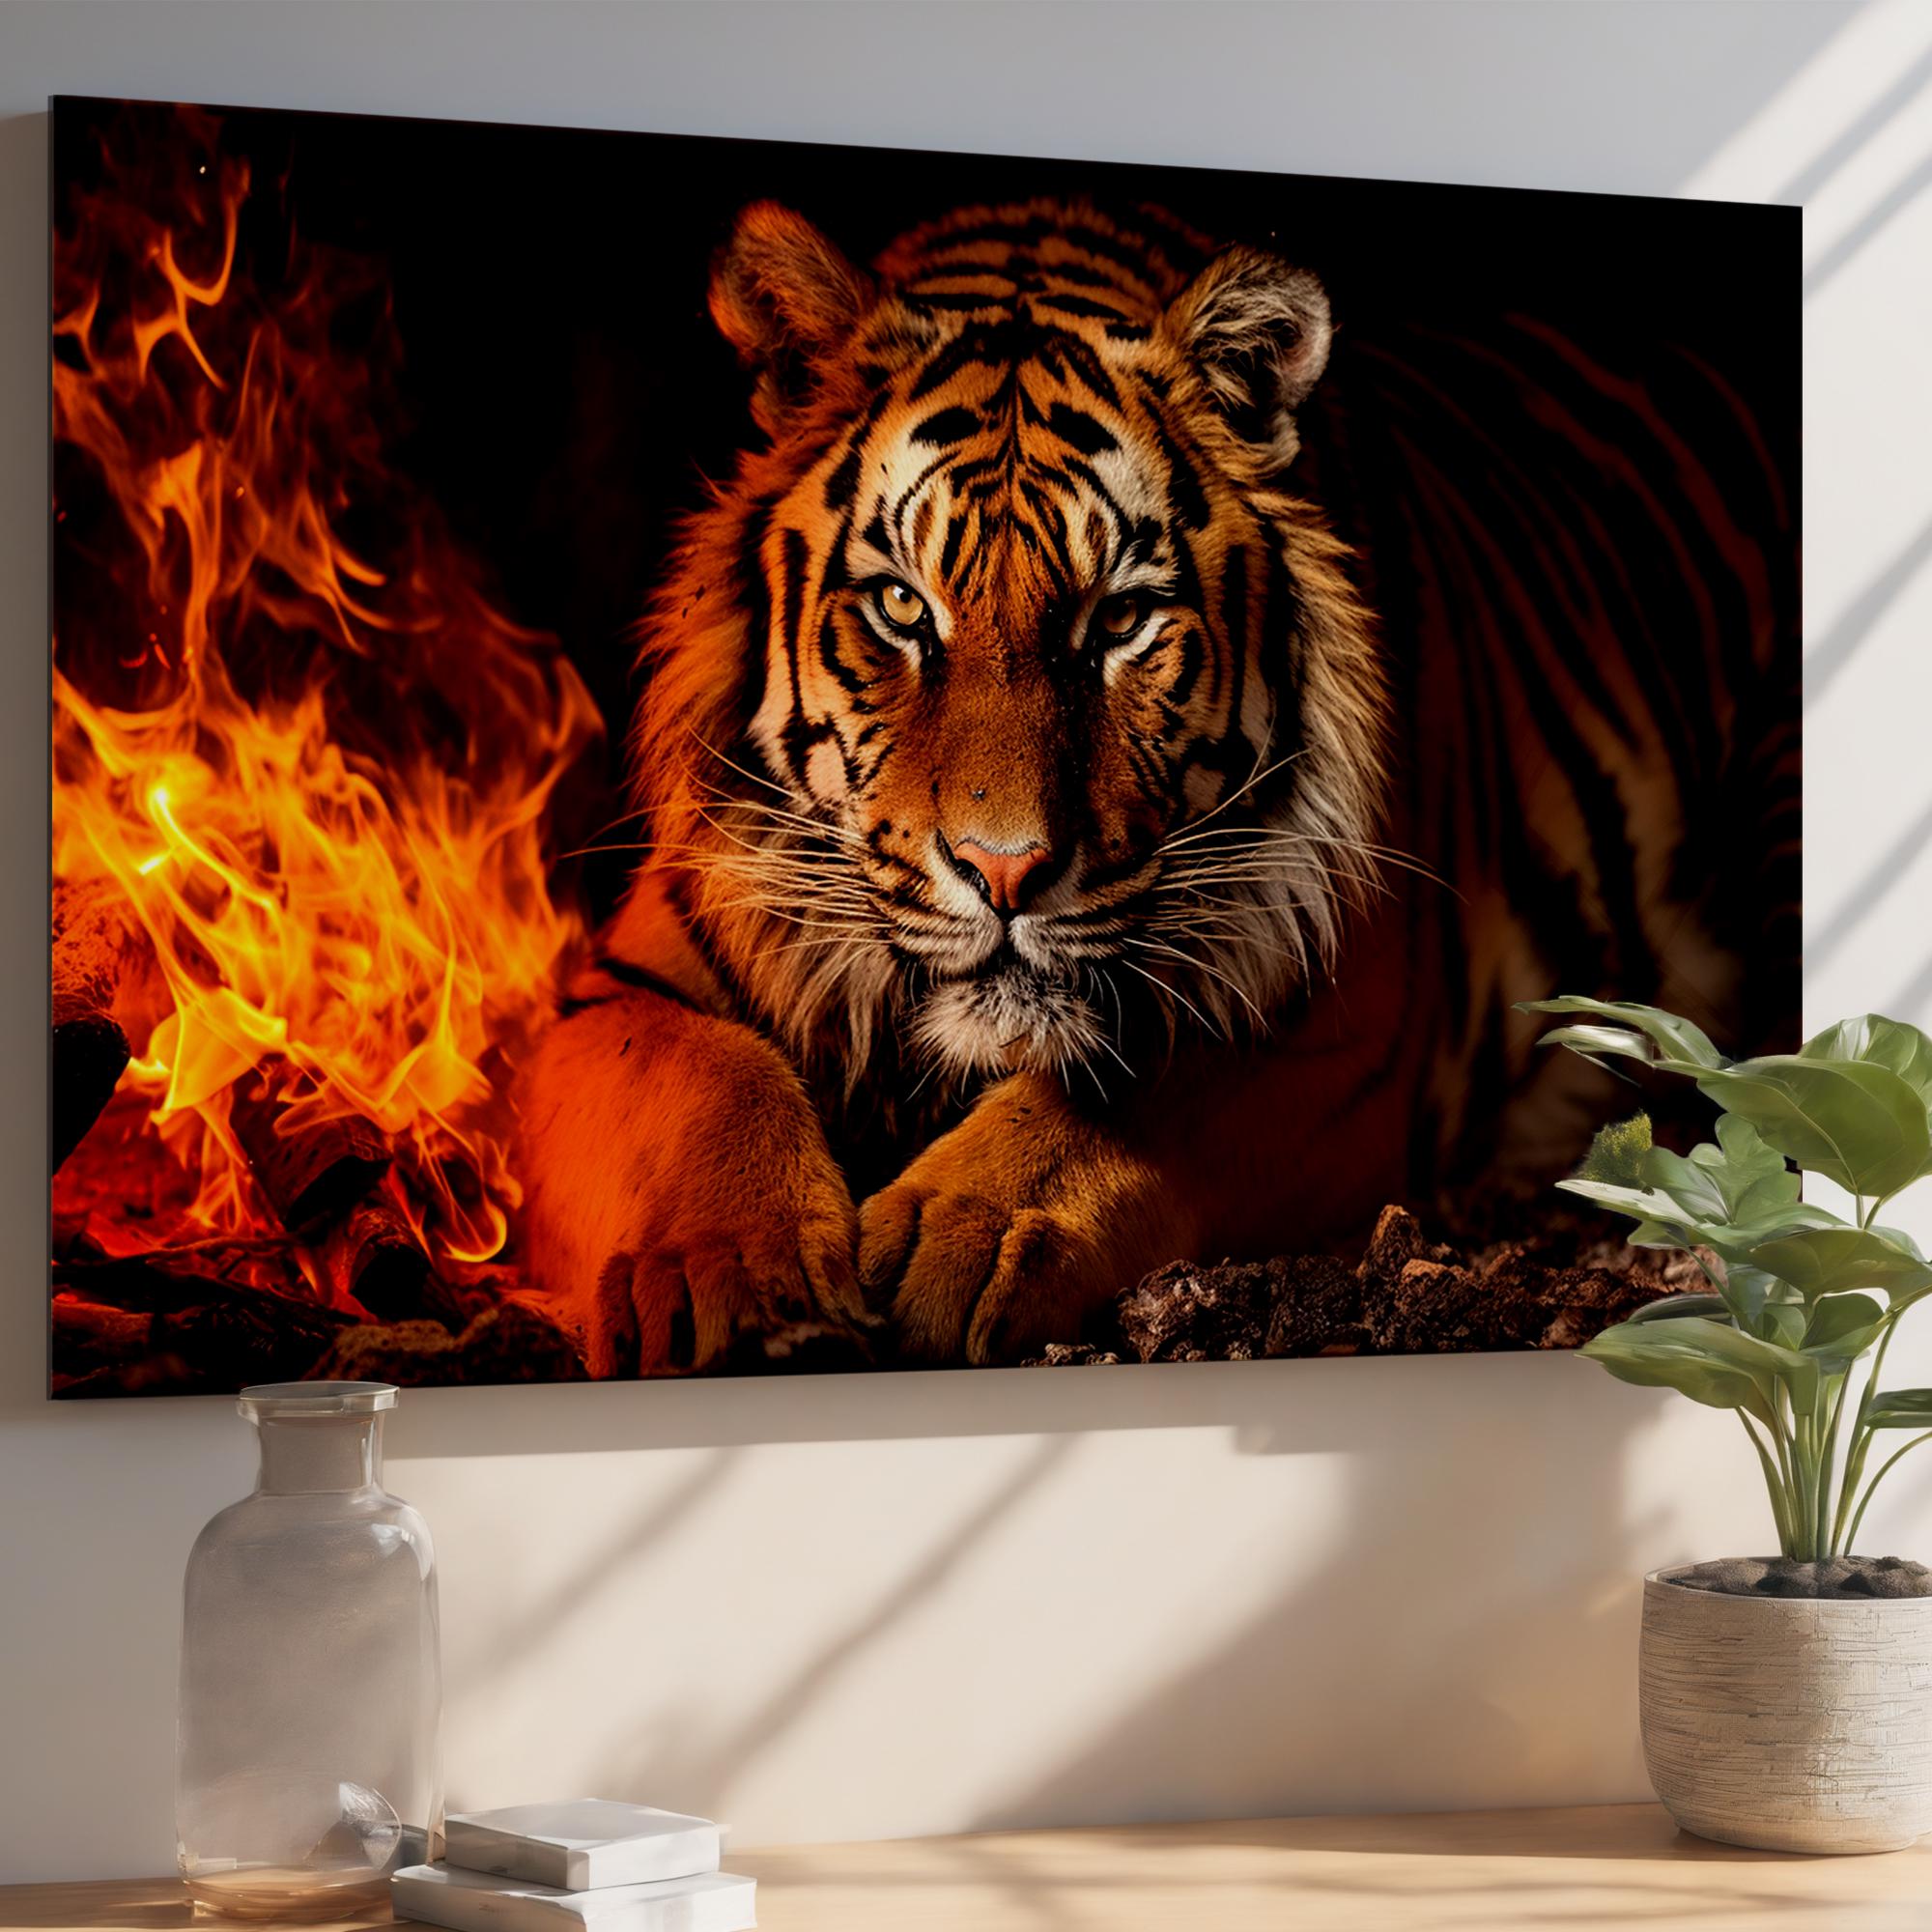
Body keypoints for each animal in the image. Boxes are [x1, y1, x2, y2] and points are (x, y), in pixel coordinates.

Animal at [514, 195, 1797, 1376]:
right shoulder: (617, 986)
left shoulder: (1324, 1017)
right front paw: (737, 1272)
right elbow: (700, 1076)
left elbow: (1118, 1095)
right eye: (900, 608)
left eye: (1119, 619)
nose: (1004, 873)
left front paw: (956, 1231)